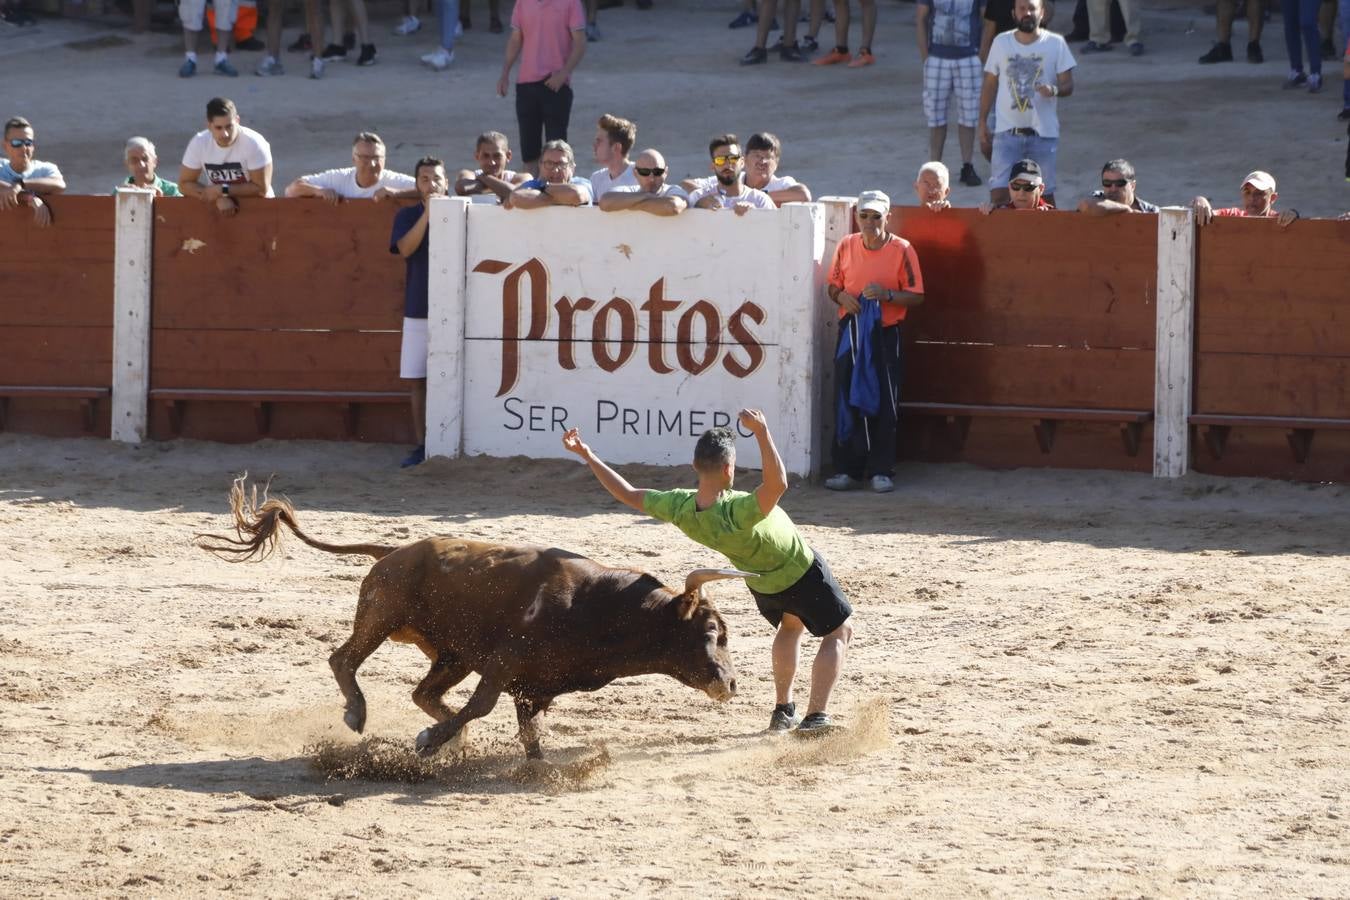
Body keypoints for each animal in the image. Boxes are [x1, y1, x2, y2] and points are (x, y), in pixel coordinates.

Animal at [198, 477, 745, 761]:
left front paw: (532, 766)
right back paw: (359, 714)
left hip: (451, 654)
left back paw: (445, 733)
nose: (731, 684)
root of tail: (393, 550)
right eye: (711, 632)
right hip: (382, 616)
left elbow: (529, 733)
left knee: (423, 693)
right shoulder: (504, 665)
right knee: (343, 659)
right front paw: (428, 742)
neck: (598, 607)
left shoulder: (534, 685)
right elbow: (482, 707)